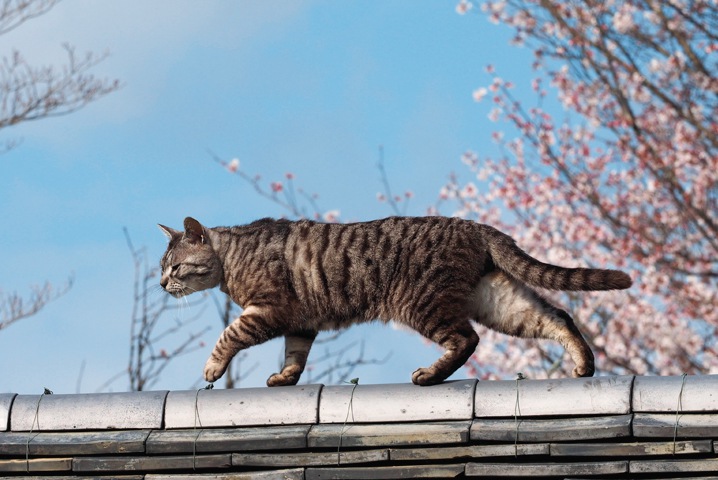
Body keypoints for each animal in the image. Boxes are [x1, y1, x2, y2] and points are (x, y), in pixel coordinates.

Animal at [160, 217, 632, 386]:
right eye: (161, 267)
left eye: (175, 267)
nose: (161, 284)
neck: (231, 261)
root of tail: (473, 225)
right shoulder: (300, 322)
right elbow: (295, 355)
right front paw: (285, 378)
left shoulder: (268, 310)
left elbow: (229, 336)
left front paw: (212, 368)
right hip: (497, 300)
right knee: (556, 316)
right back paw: (584, 364)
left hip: (423, 303)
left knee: (466, 340)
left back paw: (429, 375)